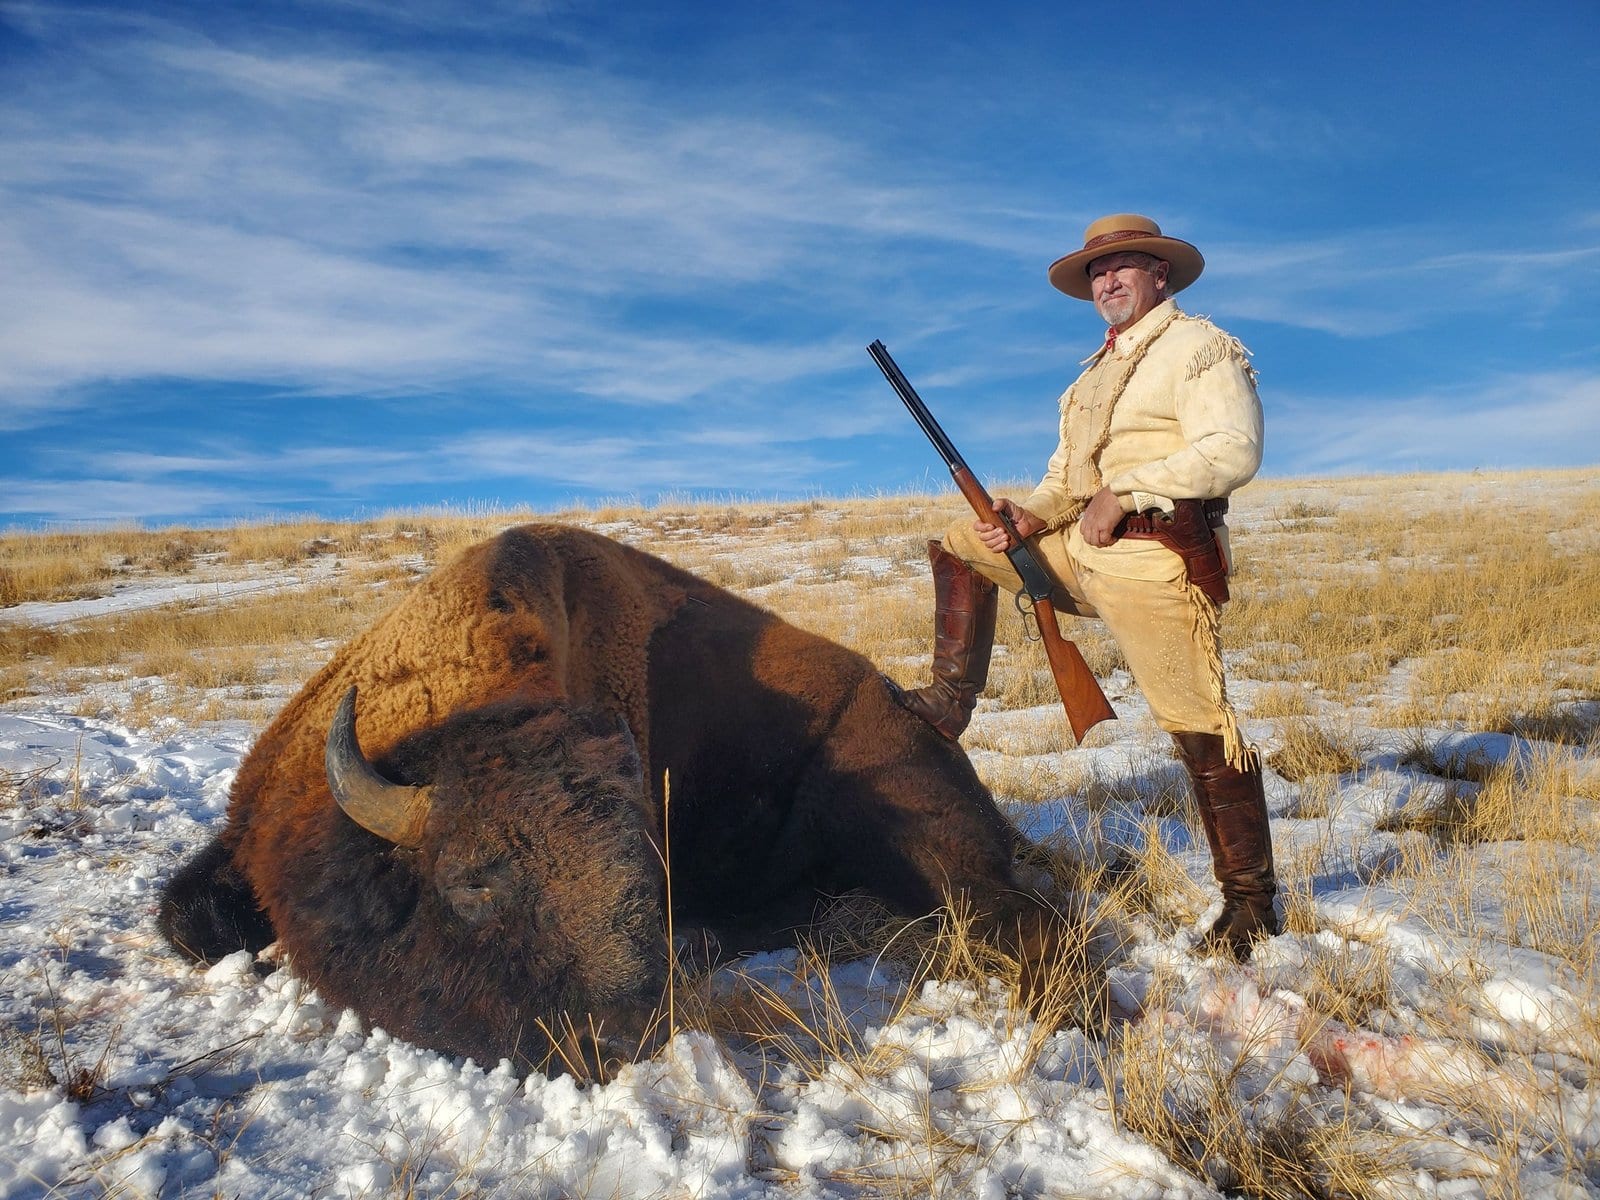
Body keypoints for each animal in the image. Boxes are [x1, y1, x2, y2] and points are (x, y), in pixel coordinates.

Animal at [159, 523, 1078, 1074]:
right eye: (470, 884)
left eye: (642, 875)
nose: (621, 1038)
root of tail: (921, 711)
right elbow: (184, 921)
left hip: (910, 834)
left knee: (1024, 921)